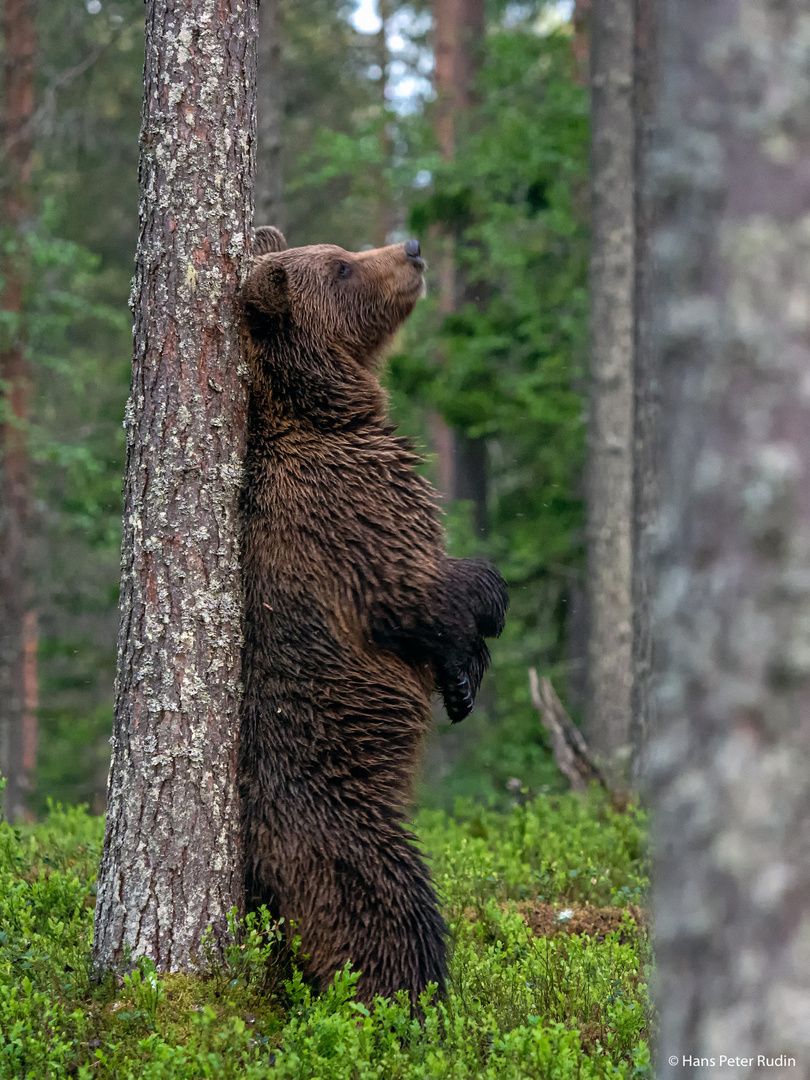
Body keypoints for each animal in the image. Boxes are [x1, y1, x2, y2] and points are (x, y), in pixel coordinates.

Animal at [237, 225, 509, 1002]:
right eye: (339, 267)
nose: (410, 247)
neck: (324, 411)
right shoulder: (352, 512)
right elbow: (415, 592)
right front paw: (485, 609)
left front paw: (463, 682)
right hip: (338, 828)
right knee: (388, 911)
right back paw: (414, 1002)